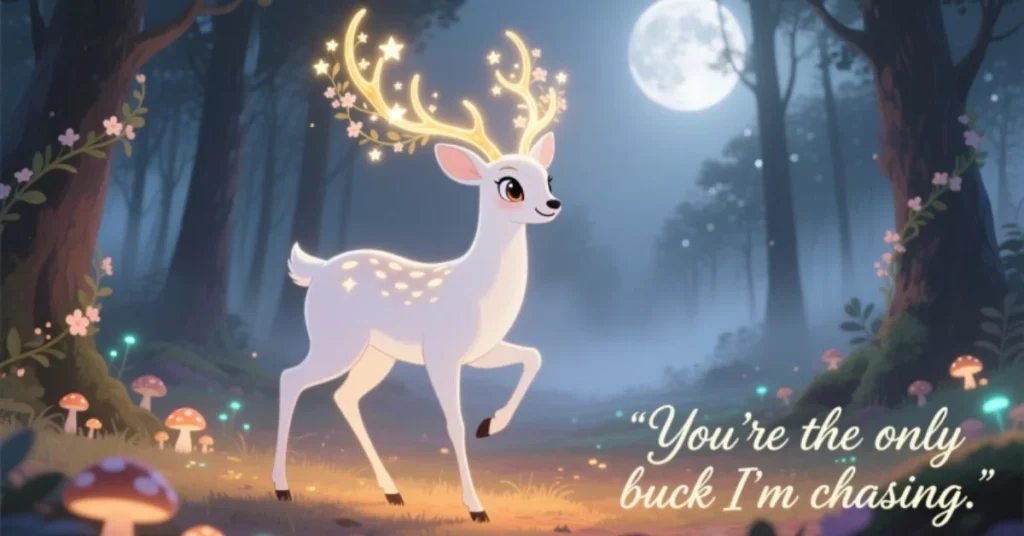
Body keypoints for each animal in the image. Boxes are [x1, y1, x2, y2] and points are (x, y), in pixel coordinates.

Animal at [271, 8, 566, 523]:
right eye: (511, 187)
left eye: (546, 176)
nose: (553, 203)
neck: (479, 291)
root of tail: (317, 270)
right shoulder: (442, 352)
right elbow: (452, 421)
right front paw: (476, 507)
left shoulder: (482, 349)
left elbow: (533, 356)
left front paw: (491, 425)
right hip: (336, 339)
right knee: (292, 379)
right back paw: (283, 487)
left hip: (376, 353)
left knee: (344, 395)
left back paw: (393, 491)